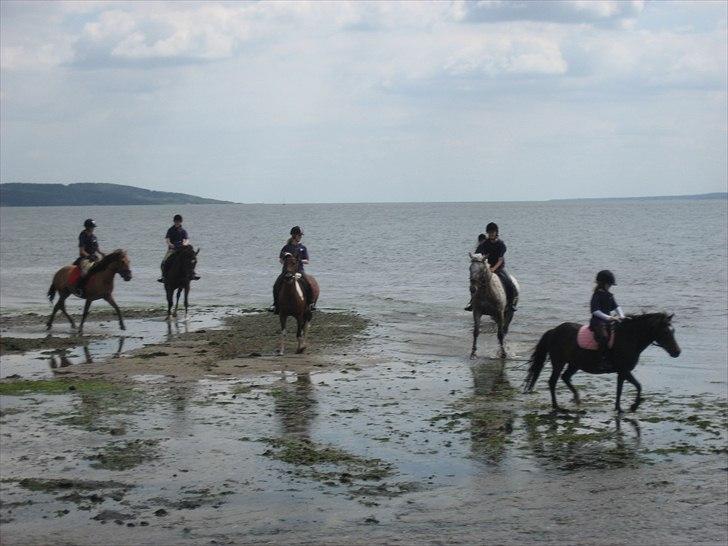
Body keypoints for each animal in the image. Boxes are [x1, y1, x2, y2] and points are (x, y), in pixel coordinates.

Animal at [524, 312, 684, 410]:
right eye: (666, 332)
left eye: (673, 331)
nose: (677, 352)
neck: (629, 337)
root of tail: (554, 331)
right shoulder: (624, 370)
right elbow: (638, 386)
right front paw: (633, 407)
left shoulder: (622, 372)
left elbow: (622, 389)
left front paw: (619, 408)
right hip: (559, 362)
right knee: (553, 381)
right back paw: (557, 406)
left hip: (575, 364)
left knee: (565, 377)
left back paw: (576, 398)